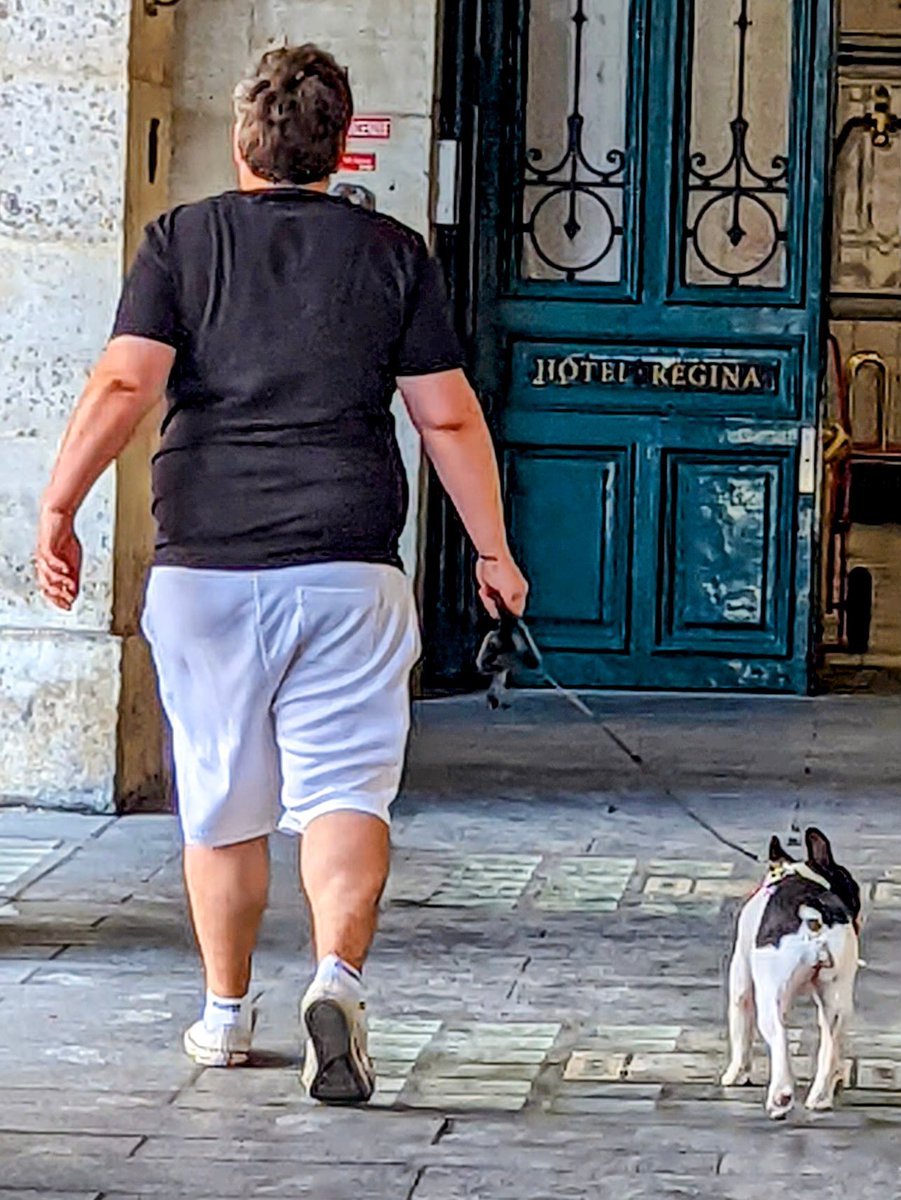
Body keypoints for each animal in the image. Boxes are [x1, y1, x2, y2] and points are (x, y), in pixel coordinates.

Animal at [724, 830, 863, 1118]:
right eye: (853, 889)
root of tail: (814, 914)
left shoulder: (741, 977)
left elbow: (740, 1031)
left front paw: (735, 1075)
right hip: (837, 997)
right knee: (831, 1041)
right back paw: (821, 1096)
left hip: (770, 996)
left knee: (778, 1039)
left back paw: (781, 1096)